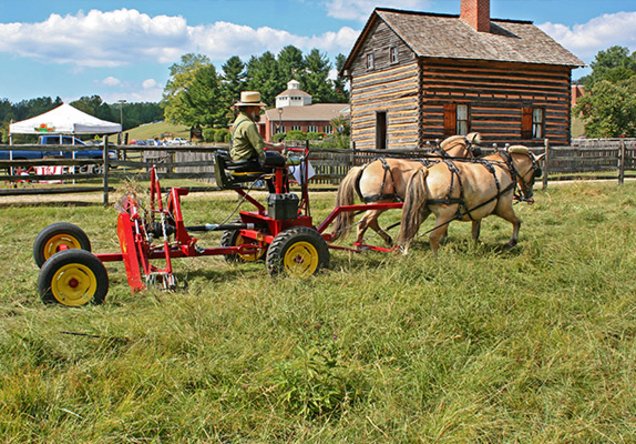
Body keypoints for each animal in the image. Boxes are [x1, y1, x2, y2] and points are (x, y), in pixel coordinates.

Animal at [332, 132, 482, 246]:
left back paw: (387, 239)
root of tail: (364, 167)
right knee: (364, 223)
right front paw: (443, 236)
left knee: (372, 222)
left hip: (380, 203)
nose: (478, 165)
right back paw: (360, 245)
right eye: (475, 151)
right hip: (379, 202)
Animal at [398, 146, 540, 253]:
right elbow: (517, 221)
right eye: (536, 171)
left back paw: (404, 253)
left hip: (422, 211)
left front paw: (474, 249)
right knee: (433, 237)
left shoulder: (478, 212)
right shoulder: (504, 207)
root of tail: (426, 170)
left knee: (409, 231)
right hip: (445, 215)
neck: (504, 167)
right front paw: (512, 241)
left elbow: (475, 233)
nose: (529, 195)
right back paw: (436, 259)